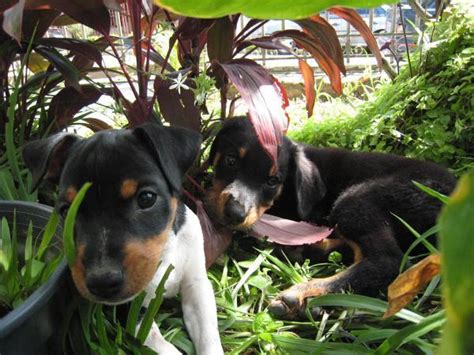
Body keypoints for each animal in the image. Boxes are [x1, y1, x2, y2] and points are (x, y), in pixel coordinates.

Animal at [24, 123, 226, 355]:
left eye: (146, 198)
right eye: (67, 211)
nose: (102, 283)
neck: (164, 252)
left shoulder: (196, 285)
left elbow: (209, 336)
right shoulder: (130, 312)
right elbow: (166, 348)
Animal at [206, 117, 456, 320]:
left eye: (272, 181)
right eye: (230, 161)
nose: (235, 214)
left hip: (356, 199)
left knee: (387, 261)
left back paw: (303, 295)